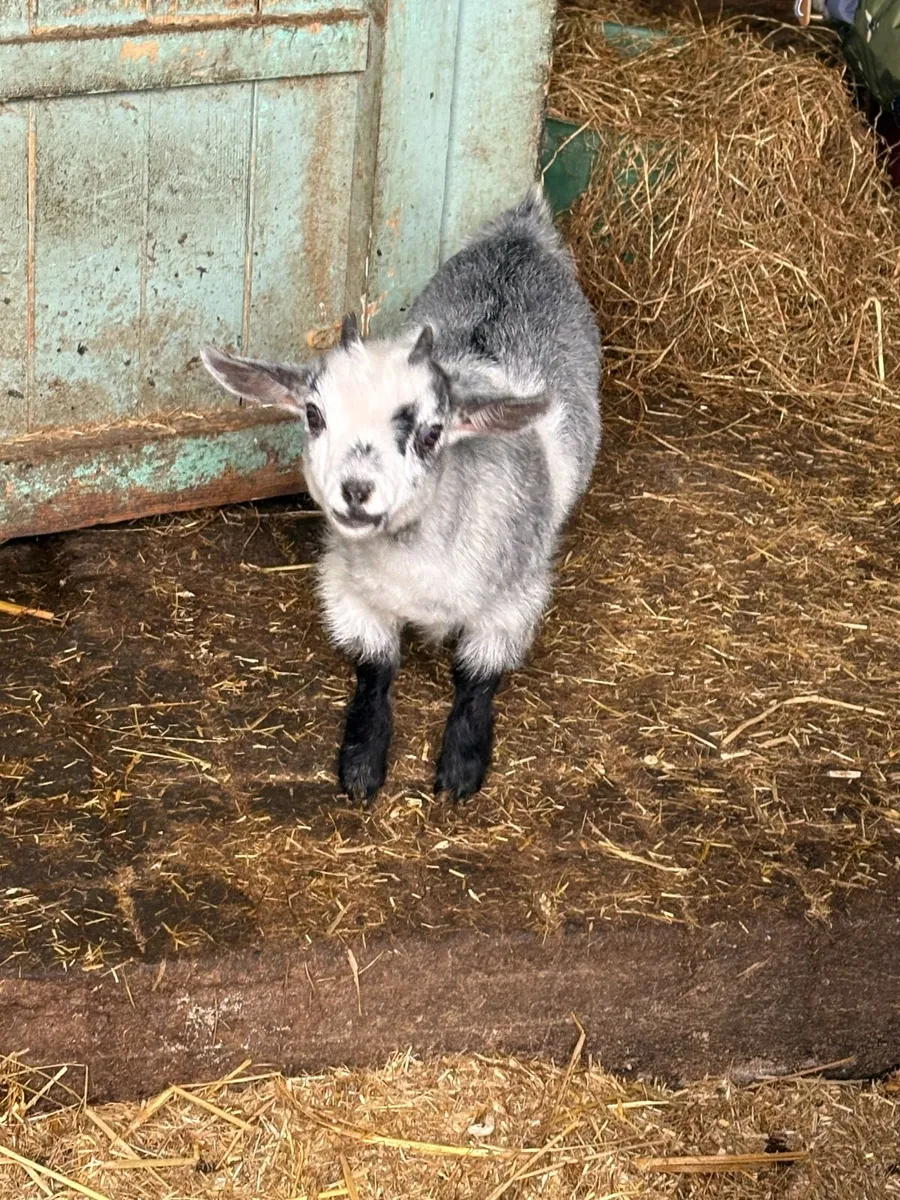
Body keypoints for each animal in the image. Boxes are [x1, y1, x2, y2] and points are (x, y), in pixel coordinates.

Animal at [201, 186, 601, 803]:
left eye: (432, 433)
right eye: (314, 415)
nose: (356, 490)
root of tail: (522, 233)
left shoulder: (517, 601)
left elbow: (477, 678)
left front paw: (461, 767)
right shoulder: (345, 589)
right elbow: (375, 668)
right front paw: (362, 763)